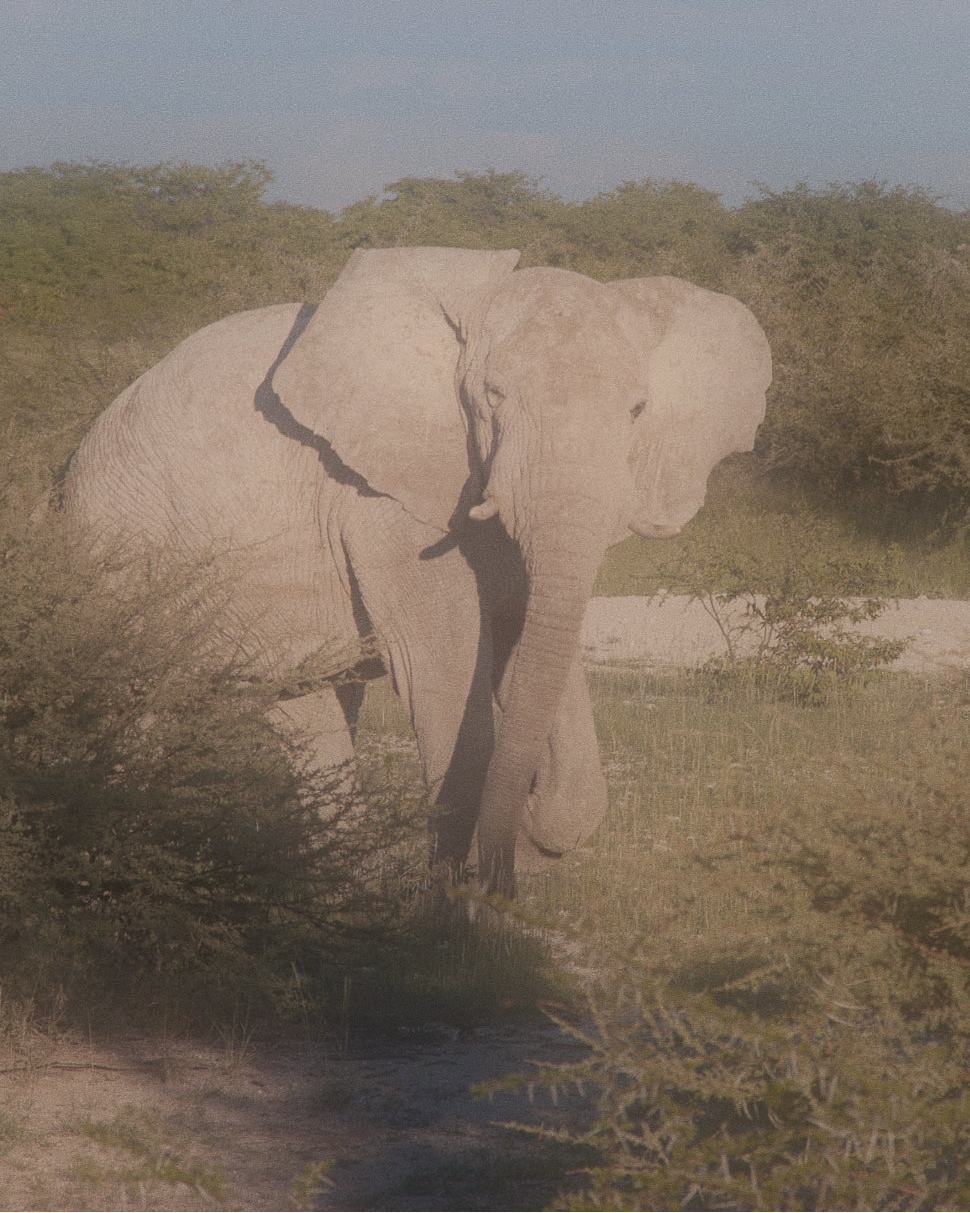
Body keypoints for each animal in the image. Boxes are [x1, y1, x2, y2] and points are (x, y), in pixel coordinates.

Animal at [62, 246, 771, 897]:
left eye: (638, 410)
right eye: (492, 396)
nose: (507, 871)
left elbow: (524, 649)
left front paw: (526, 841)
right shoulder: (383, 502)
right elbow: (445, 676)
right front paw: (457, 913)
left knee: (308, 715)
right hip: (117, 551)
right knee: (138, 707)